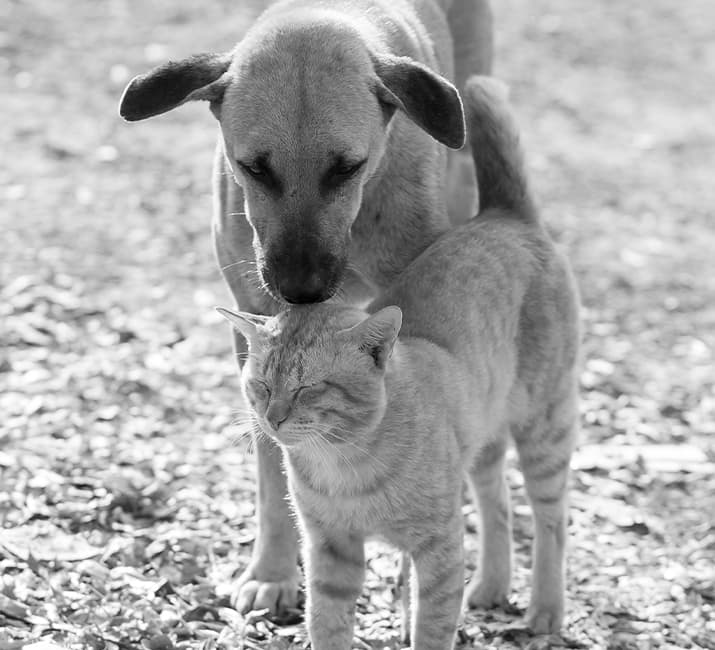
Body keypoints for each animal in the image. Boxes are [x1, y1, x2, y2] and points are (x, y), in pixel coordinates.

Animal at [120, 0, 496, 612]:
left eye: (346, 166)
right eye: (254, 167)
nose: (301, 289)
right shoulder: (251, 331)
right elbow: (273, 467)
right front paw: (273, 570)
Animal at [220, 77, 580, 648]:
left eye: (307, 388)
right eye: (260, 386)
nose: (272, 419)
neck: (344, 465)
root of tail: (504, 214)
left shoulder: (438, 550)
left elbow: (430, 628)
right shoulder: (331, 551)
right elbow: (327, 625)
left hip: (546, 431)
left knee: (551, 521)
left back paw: (545, 610)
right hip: (483, 444)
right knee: (497, 502)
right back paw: (491, 585)